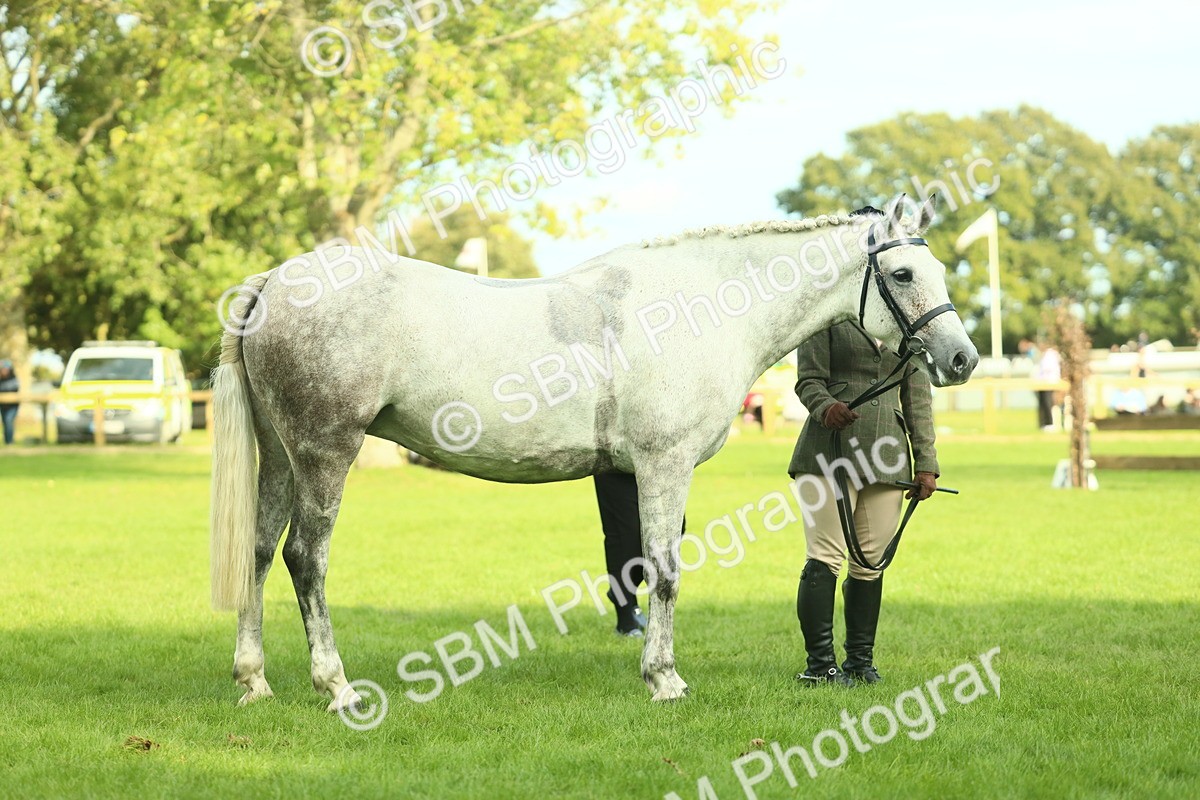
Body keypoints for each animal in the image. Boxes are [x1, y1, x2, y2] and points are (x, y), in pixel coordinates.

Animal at [210, 192, 978, 710]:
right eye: (904, 275)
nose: (962, 358)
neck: (699, 306)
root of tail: (274, 282)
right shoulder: (663, 465)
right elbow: (665, 571)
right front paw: (664, 679)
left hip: (280, 456)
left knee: (258, 551)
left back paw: (254, 681)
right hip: (323, 452)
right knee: (305, 558)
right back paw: (336, 687)